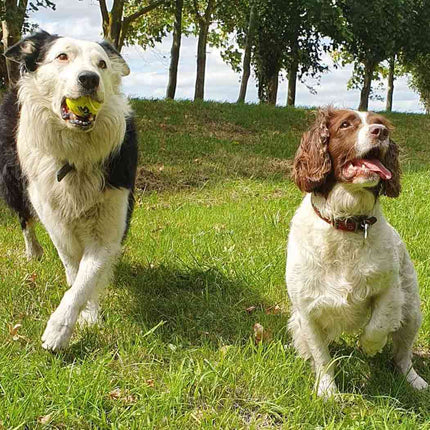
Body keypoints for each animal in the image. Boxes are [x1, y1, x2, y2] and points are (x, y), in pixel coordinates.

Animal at [0, 31, 137, 352]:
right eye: (62, 56)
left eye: (102, 64)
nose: (89, 79)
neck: (76, 154)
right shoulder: (58, 224)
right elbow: (74, 272)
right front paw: (83, 317)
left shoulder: (109, 225)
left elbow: (86, 279)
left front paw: (62, 327)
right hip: (14, 181)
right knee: (25, 219)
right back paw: (33, 251)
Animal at [286, 107, 426, 396]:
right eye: (345, 124)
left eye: (380, 123)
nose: (380, 133)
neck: (347, 222)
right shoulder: (307, 310)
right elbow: (322, 356)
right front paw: (328, 392)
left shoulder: (390, 289)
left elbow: (379, 324)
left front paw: (370, 346)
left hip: (412, 311)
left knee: (403, 355)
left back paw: (415, 380)